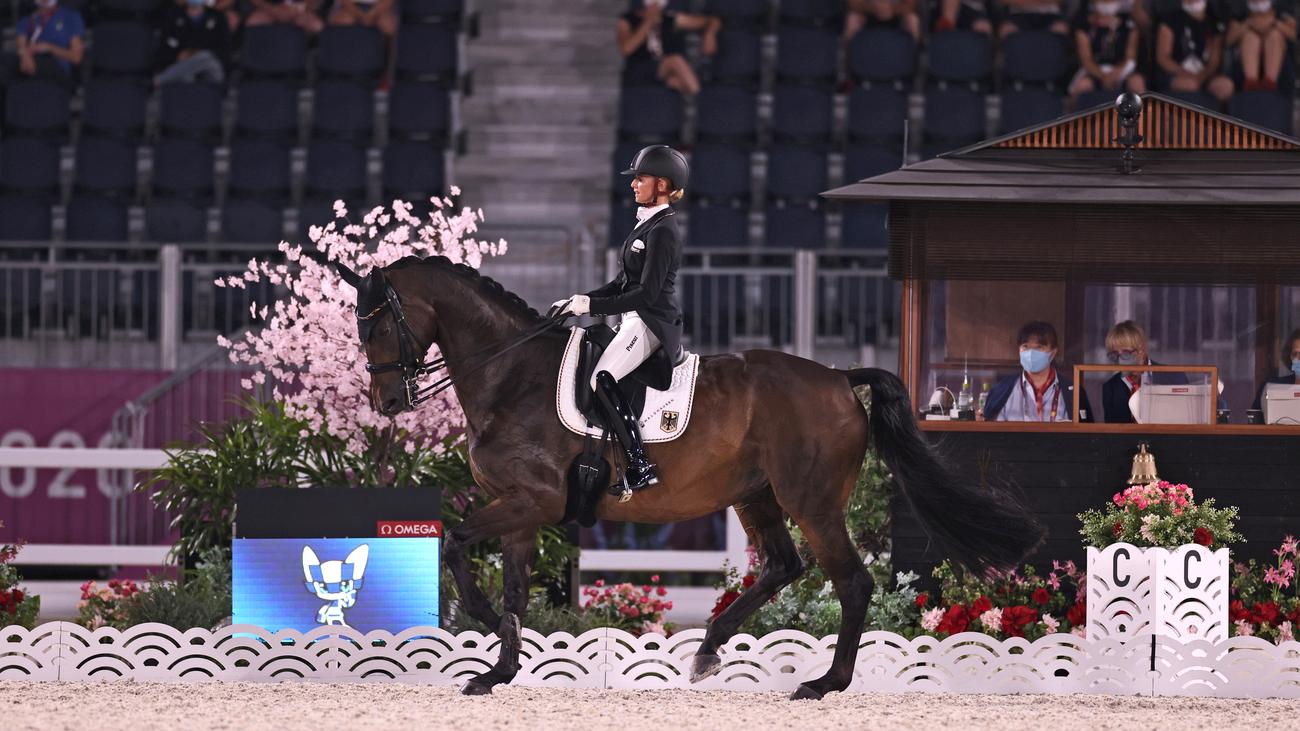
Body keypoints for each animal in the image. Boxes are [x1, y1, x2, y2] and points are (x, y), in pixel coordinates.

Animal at [335, 254, 1045, 691]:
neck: (511, 376)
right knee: (784, 566)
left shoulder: (529, 500)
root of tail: (841, 377)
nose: (388, 402)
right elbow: (510, 586)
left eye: (377, 327)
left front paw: (481, 626)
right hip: (758, 497)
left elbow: (456, 543)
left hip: (811, 502)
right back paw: (708, 648)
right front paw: (497, 670)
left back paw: (824, 684)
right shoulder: (520, 508)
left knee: (851, 581)